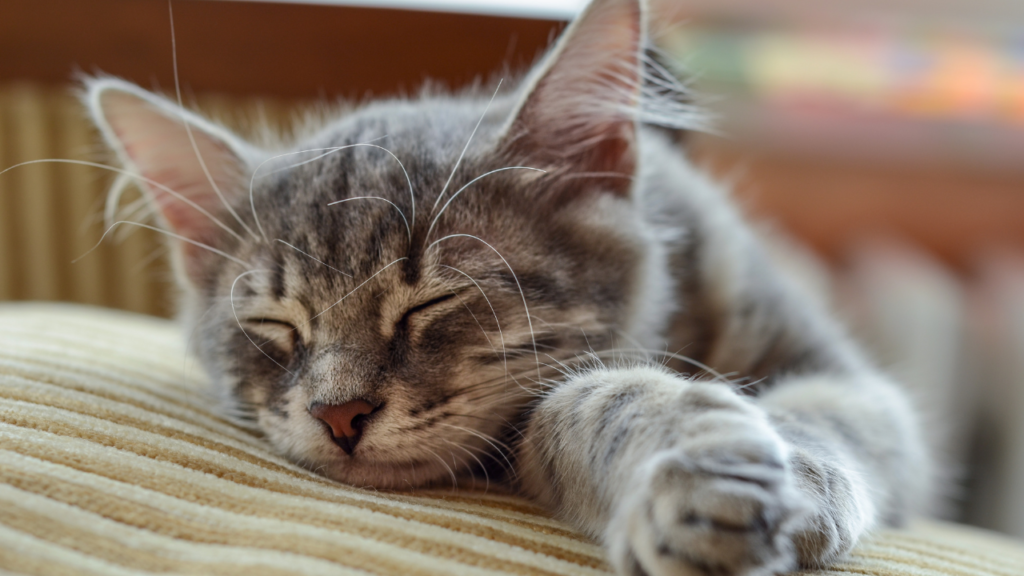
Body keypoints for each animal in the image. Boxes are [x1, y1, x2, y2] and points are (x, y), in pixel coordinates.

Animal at [86, 1, 929, 573]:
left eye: (430, 301)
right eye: (275, 325)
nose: (338, 414)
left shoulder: (846, 378)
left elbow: (822, 418)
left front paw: (791, 477)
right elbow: (593, 400)